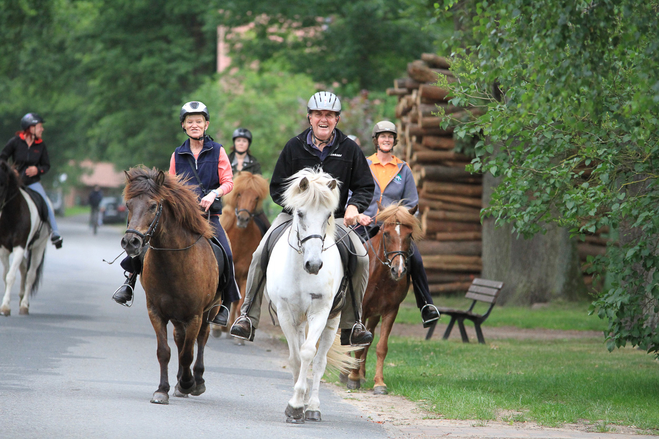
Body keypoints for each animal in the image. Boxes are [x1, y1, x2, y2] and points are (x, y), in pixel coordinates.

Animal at [119, 168, 222, 406]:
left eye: (153, 205)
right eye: (128, 204)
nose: (130, 242)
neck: (174, 263)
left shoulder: (195, 316)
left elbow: (187, 354)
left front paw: (187, 383)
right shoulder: (156, 312)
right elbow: (164, 351)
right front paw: (162, 390)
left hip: (209, 311)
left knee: (200, 340)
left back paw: (197, 380)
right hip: (177, 317)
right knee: (180, 339)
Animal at [346, 203, 422, 396]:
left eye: (409, 234)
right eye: (386, 233)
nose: (399, 270)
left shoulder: (390, 310)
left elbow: (381, 346)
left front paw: (379, 383)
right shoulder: (360, 310)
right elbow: (356, 344)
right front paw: (352, 378)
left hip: (374, 315)